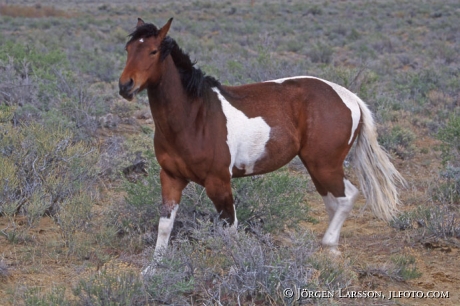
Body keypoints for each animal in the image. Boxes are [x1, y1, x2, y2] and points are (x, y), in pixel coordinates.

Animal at [119, 17, 406, 278]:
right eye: (128, 49)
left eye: (153, 51)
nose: (125, 85)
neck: (194, 116)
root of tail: (350, 97)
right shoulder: (171, 177)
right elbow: (165, 225)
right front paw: (153, 269)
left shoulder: (218, 182)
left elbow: (230, 227)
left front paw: (234, 268)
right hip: (317, 167)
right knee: (334, 201)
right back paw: (331, 251)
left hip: (325, 165)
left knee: (348, 197)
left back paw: (328, 244)